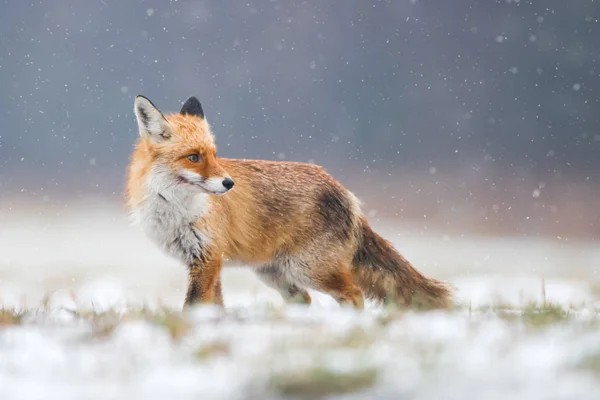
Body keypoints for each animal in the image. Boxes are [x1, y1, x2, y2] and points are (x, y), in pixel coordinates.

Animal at [127, 96, 454, 310]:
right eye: (194, 157)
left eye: (214, 155)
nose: (229, 183)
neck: (176, 212)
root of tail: (345, 192)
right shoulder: (209, 261)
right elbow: (213, 306)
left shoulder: (207, 259)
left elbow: (193, 306)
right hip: (275, 273)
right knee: (306, 299)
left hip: (309, 269)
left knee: (353, 293)